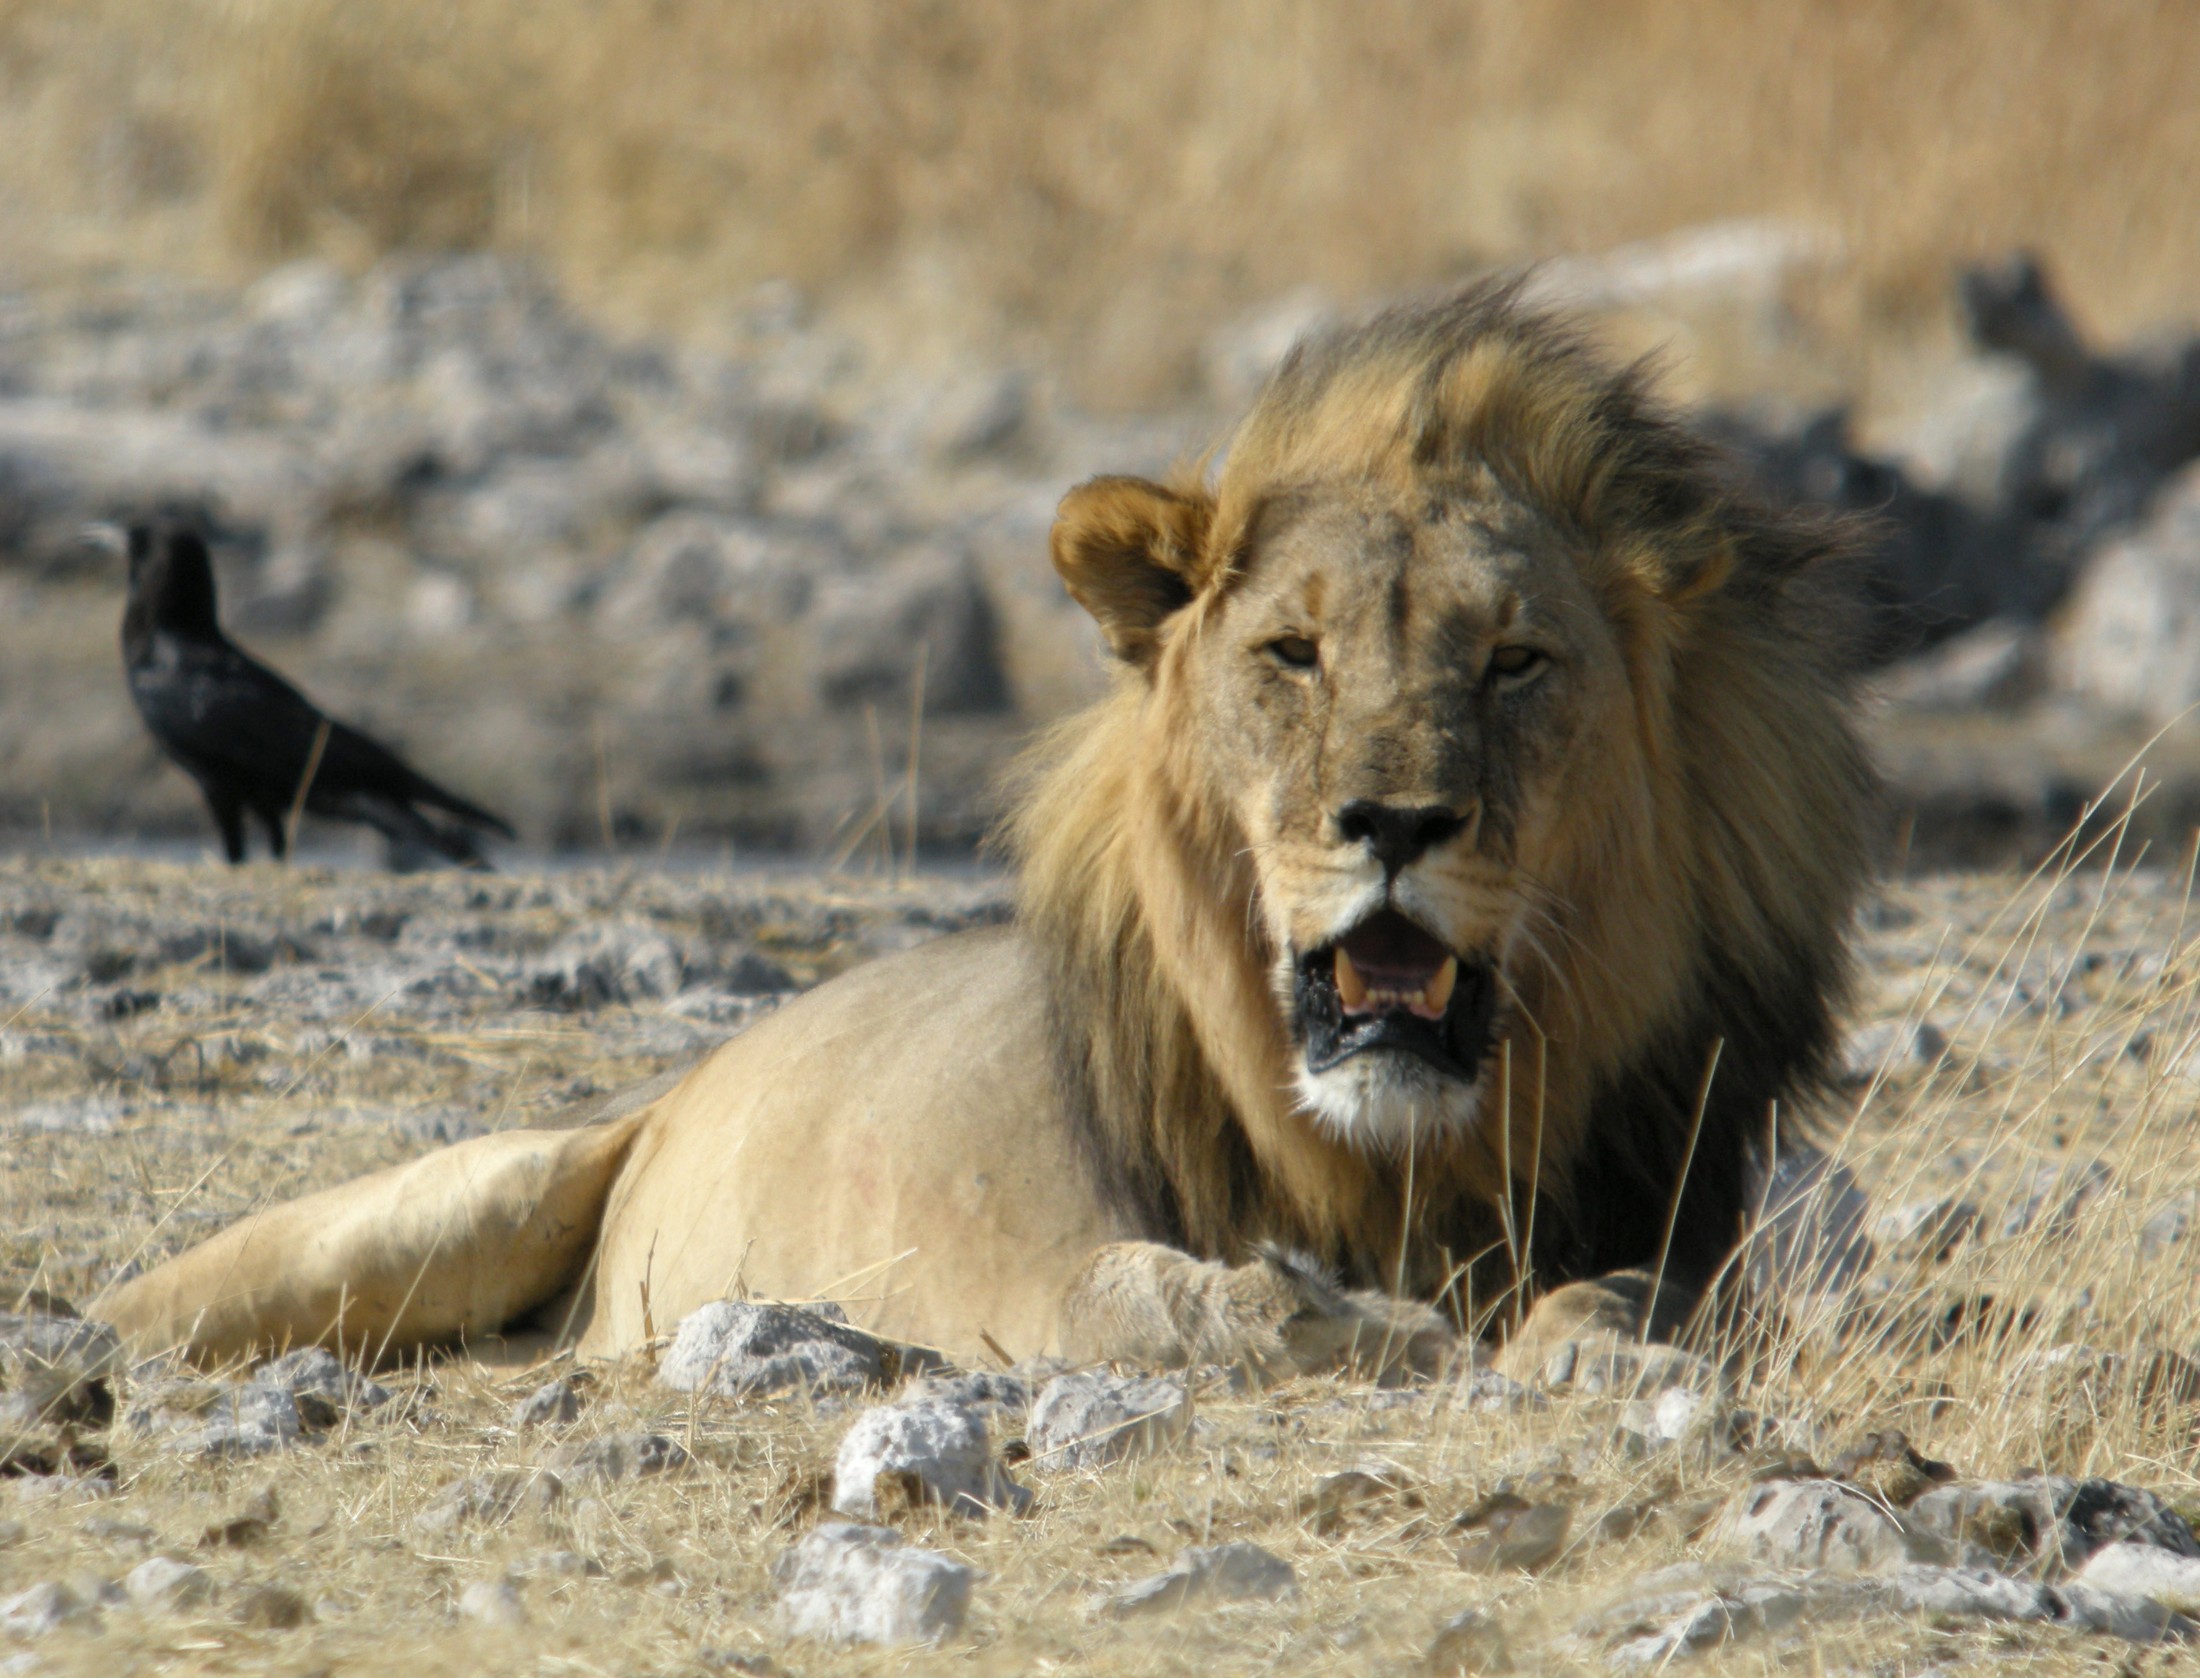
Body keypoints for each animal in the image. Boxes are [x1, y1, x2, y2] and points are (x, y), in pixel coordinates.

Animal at [96, 284, 1876, 1382]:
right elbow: (1154, 1295)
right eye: (1292, 653)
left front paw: (1573, 1331)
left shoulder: (1683, 1212)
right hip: (461, 1197)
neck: (1396, 1155)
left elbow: (1649, 1296)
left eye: (1515, 660)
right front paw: (1349, 1325)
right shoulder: (1020, 1262)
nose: (1392, 818)